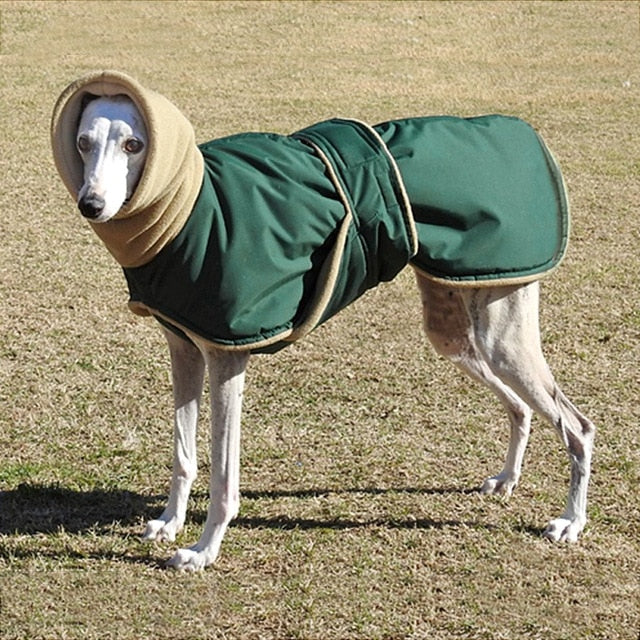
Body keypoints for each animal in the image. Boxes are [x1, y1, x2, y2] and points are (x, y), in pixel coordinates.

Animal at [53, 75, 596, 568]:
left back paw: (571, 521)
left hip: (503, 334)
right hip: (454, 326)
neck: (188, 207)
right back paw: (506, 479)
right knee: (521, 408)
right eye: (83, 142)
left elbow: (224, 476)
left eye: (134, 144)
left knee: (579, 426)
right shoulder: (185, 348)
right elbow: (184, 454)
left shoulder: (227, 356)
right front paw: (169, 523)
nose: (91, 205)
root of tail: (518, 130)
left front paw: (204, 551)